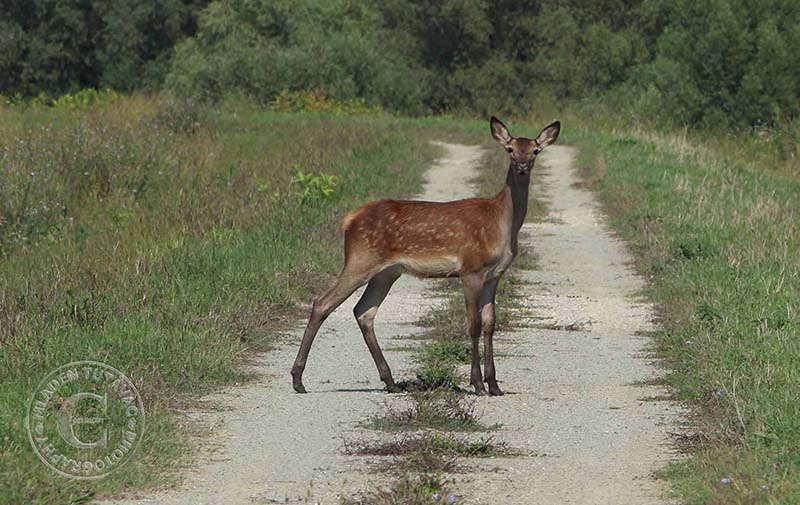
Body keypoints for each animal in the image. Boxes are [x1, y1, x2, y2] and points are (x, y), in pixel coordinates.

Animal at [290, 117, 560, 394]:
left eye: (535, 151)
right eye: (509, 149)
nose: (522, 167)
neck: (502, 223)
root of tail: (349, 219)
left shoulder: (495, 275)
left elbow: (490, 324)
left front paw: (494, 384)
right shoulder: (470, 268)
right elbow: (473, 324)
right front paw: (477, 383)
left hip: (387, 272)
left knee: (363, 311)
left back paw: (390, 381)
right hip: (360, 259)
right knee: (322, 303)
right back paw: (298, 379)